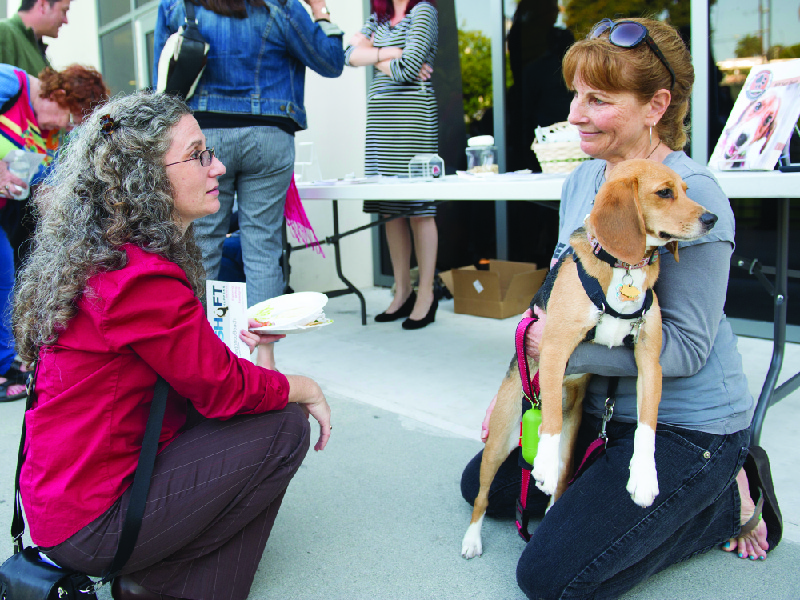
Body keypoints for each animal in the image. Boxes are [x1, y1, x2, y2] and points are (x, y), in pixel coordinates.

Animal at [462, 158, 720, 556]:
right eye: (665, 192)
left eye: (686, 191)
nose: (712, 218)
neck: (623, 267)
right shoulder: (553, 347)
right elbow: (550, 418)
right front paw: (543, 463)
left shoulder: (650, 361)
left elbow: (647, 424)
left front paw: (644, 477)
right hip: (500, 440)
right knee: (482, 495)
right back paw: (473, 537)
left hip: (571, 445)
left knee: (560, 486)